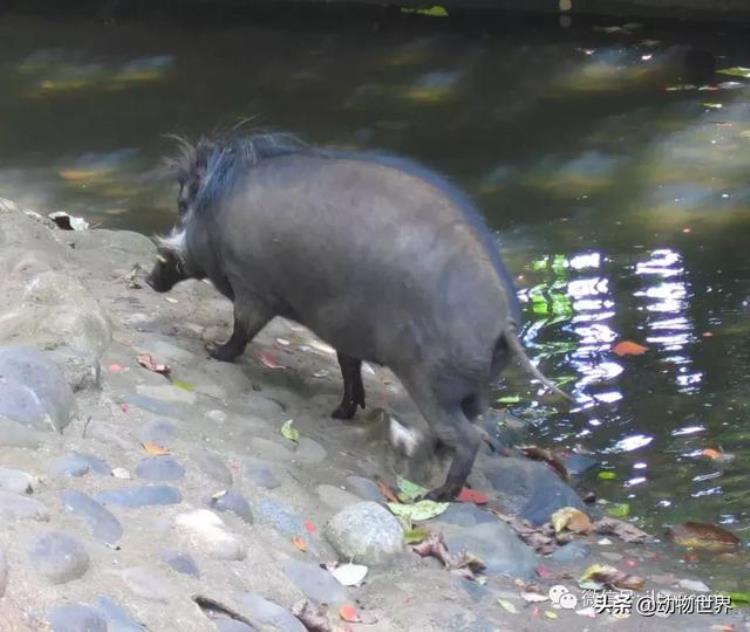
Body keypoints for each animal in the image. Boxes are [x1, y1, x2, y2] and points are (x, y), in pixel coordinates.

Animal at [148, 133, 568, 498]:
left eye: (182, 205)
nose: (151, 279)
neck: (216, 211)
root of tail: (503, 325)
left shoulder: (252, 290)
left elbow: (241, 331)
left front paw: (213, 350)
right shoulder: (342, 332)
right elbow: (349, 370)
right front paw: (341, 413)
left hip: (431, 387)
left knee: (467, 439)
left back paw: (438, 494)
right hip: (473, 394)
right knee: (462, 430)